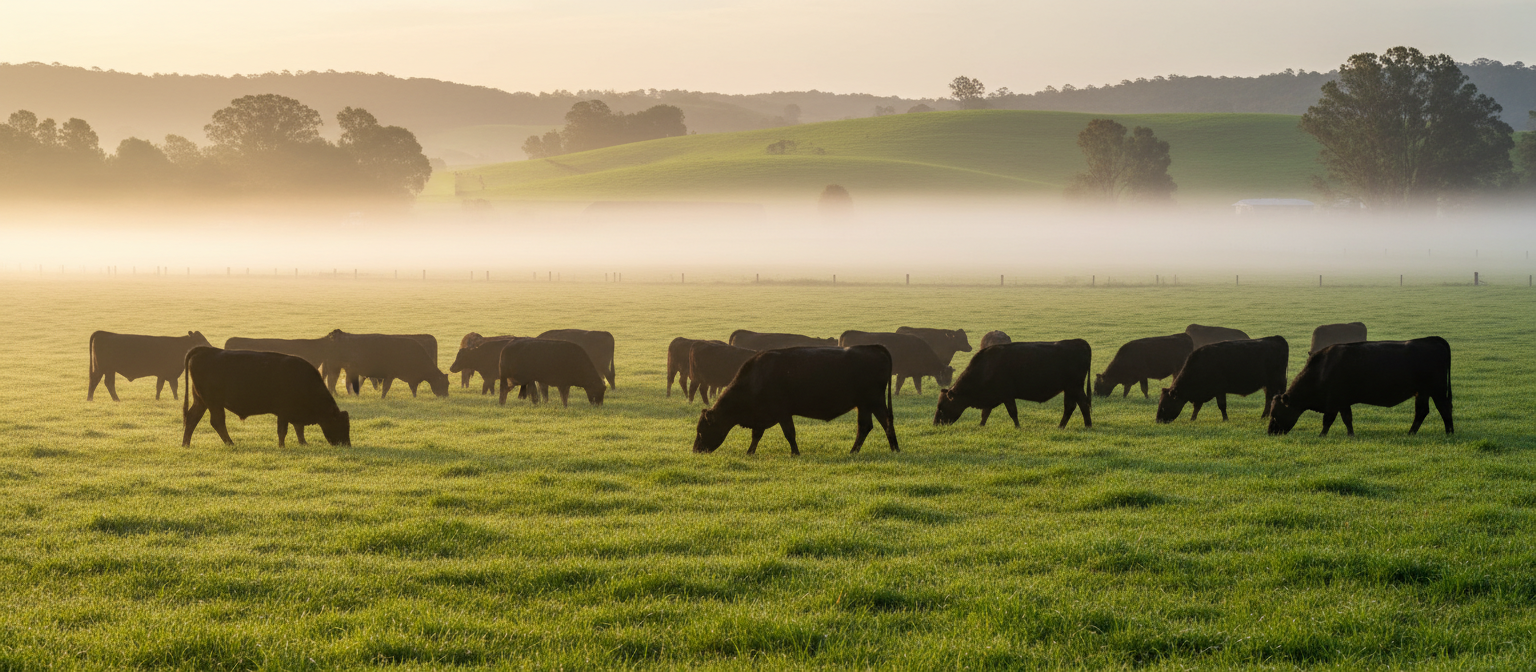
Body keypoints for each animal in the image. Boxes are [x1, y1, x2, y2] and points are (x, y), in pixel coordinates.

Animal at [181, 347, 350, 447]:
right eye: (340, 424)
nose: (346, 444)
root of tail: (207, 350)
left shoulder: (293, 414)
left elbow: (299, 428)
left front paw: (303, 443)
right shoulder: (284, 412)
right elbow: (283, 430)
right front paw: (282, 446)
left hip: (201, 401)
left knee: (192, 419)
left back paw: (186, 444)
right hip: (213, 403)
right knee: (217, 421)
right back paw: (230, 443)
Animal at [693, 345, 898, 456]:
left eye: (701, 431)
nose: (696, 450)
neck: (756, 377)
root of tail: (872, 347)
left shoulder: (782, 412)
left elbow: (789, 434)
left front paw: (795, 453)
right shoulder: (762, 416)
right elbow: (756, 435)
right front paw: (750, 452)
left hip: (873, 401)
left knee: (880, 423)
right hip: (865, 405)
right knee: (869, 425)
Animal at [933, 340, 1092, 429]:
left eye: (941, 407)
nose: (936, 424)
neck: (985, 367)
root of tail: (1080, 342)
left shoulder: (1007, 395)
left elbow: (1012, 412)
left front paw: (1018, 427)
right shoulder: (992, 397)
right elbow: (985, 413)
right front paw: (981, 426)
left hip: (1074, 387)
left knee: (1082, 405)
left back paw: (1087, 426)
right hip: (1070, 389)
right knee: (1071, 406)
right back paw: (1062, 426)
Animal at [1156, 336, 1288, 423]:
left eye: (1164, 405)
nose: (1158, 420)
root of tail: (1277, 338)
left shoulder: (1219, 390)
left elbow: (1222, 405)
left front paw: (1225, 419)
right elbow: (1197, 407)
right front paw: (1192, 419)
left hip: (1276, 382)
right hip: (1267, 384)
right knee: (1268, 398)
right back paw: (1264, 416)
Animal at [1268, 337, 1452, 436]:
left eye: (1275, 414)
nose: (1270, 432)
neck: (1321, 369)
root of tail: (1431, 339)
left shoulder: (1333, 401)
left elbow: (1328, 420)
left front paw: (1321, 435)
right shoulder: (1343, 401)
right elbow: (1347, 418)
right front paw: (1351, 435)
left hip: (1437, 390)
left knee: (1444, 408)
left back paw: (1449, 432)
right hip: (1422, 392)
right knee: (1422, 411)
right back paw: (1411, 433)